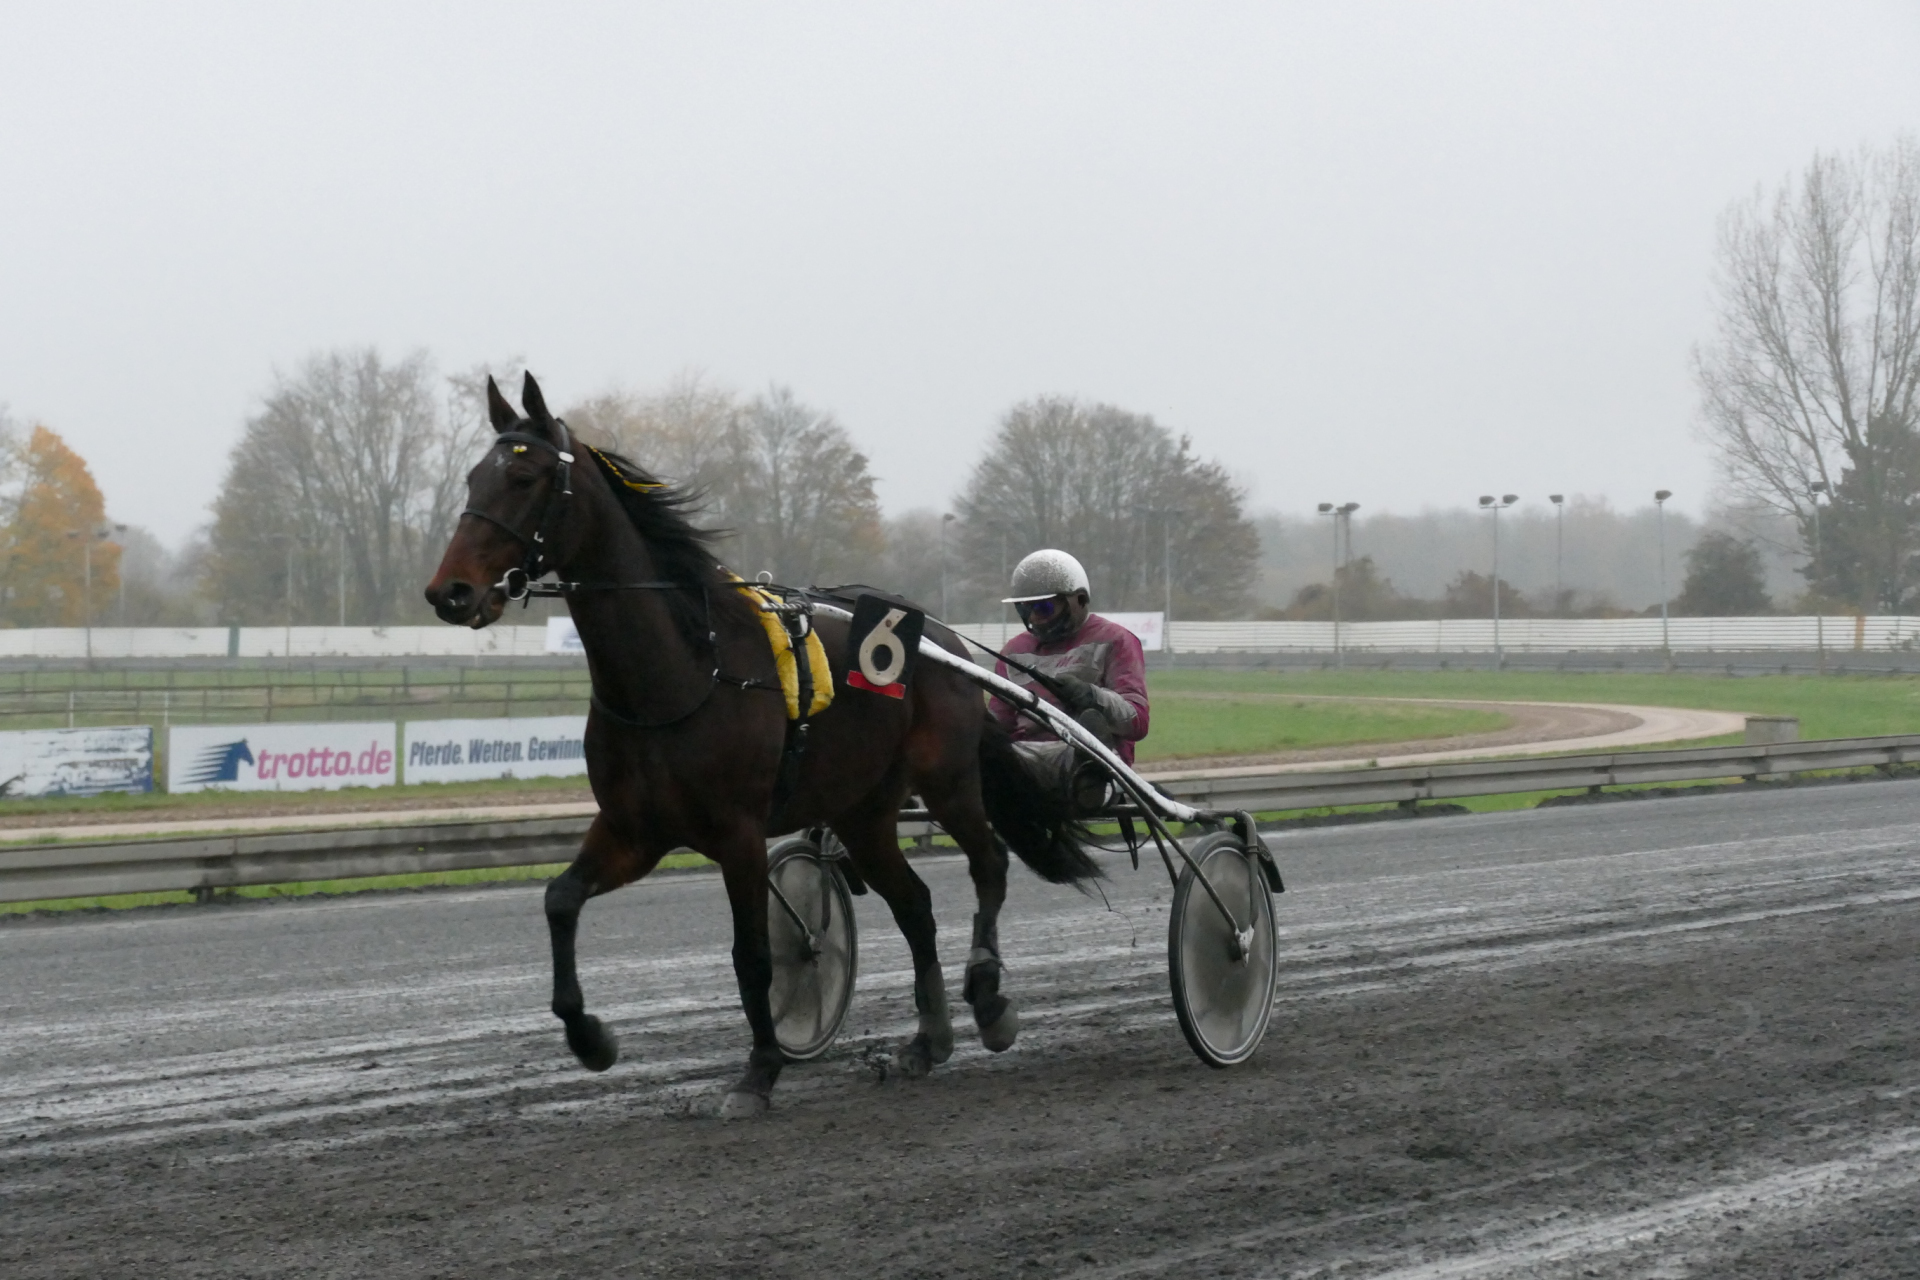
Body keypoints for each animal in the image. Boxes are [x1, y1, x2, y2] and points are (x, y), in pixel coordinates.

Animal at [424, 373, 1099, 1116]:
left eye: (522, 477)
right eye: (472, 478)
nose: (449, 591)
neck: (682, 672)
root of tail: (944, 640)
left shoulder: (739, 832)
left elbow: (751, 954)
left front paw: (760, 1070)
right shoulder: (635, 829)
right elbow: (559, 900)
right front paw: (591, 1037)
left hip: (946, 781)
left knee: (990, 865)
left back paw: (988, 997)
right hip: (863, 809)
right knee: (916, 906)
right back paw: (928, 1041)